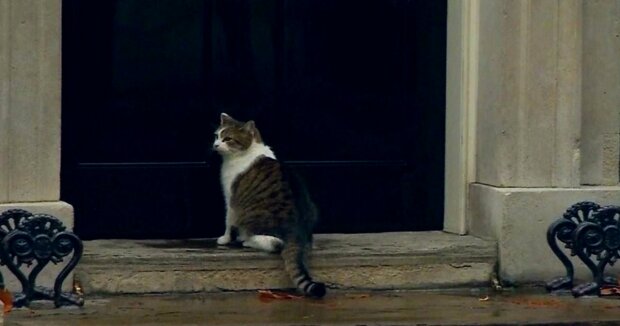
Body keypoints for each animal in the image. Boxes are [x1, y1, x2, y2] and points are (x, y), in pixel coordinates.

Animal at [213, 112, 326, 298]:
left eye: (227, 138)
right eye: (216, 136)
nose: (215, 145)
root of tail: (297, 230)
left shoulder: (230, 199)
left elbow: (228, 221)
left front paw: (225, 238)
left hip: (253, 217)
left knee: (275, 243)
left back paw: (247, 241)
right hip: (313, 209)